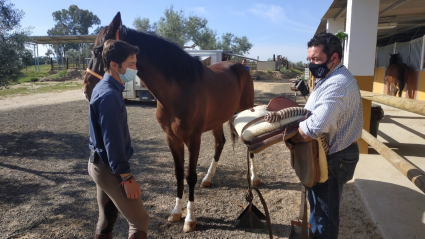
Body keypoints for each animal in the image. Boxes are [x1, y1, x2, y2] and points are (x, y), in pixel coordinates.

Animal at [83, 12, 255, 232]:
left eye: (97, 50)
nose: (86, 88)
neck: (179, 90)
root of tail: (239, 66)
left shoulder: (193, 139)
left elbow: (190, 176)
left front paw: (190, 219)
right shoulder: (172, 139)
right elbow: (179, 173)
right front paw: (176, 212)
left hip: (246, 111)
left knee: (250, 144)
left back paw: (254, 178)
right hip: (217, 120)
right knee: (220, 143)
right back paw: (208, 178)